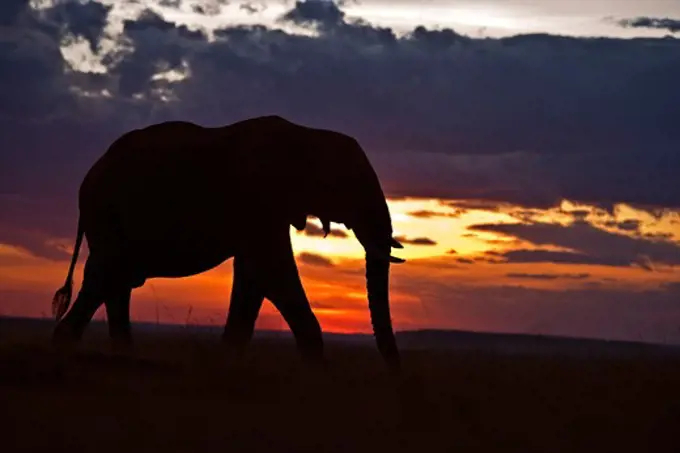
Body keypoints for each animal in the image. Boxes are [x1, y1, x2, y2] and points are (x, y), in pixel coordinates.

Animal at [53, 115, 406, 370]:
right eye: (350, 184)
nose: (395, 369)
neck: (308, 134)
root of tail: (88, 178)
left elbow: (254, 275)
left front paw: (227, 360)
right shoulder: (259, 199)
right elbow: (272, 271)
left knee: (117, 281)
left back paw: (119, 355)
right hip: (109, 215)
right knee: (107, 276)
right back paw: (70, 347)